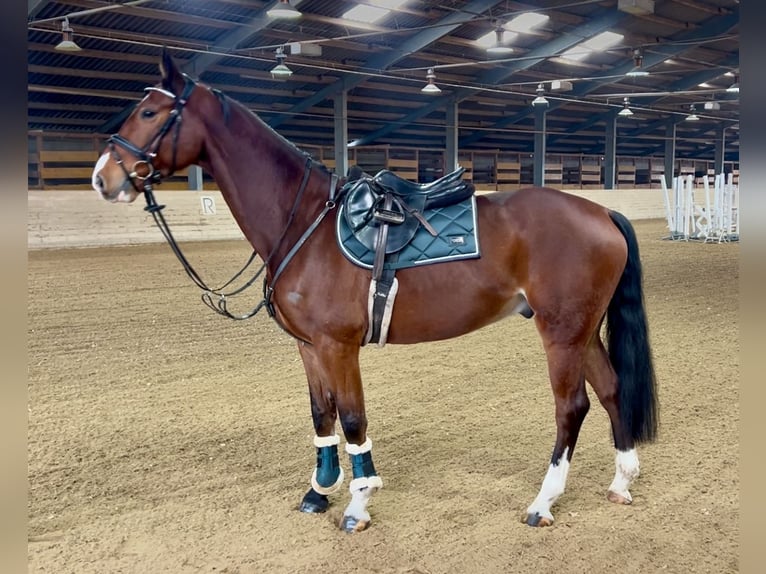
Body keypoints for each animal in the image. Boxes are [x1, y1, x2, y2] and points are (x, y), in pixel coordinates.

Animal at [93, 50, 660, 536]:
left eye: (149, 111)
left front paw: (358, 503)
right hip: (583, 330)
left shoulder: (338, 346)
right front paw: (319, 491)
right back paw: (621, 481)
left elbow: (351, 418)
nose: (103, 178)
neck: (306, 223)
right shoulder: (308, 347)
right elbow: (321, 415)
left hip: (560, 332)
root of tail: (600, 211)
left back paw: (544, 501)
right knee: (612, 390)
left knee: (572, 407)